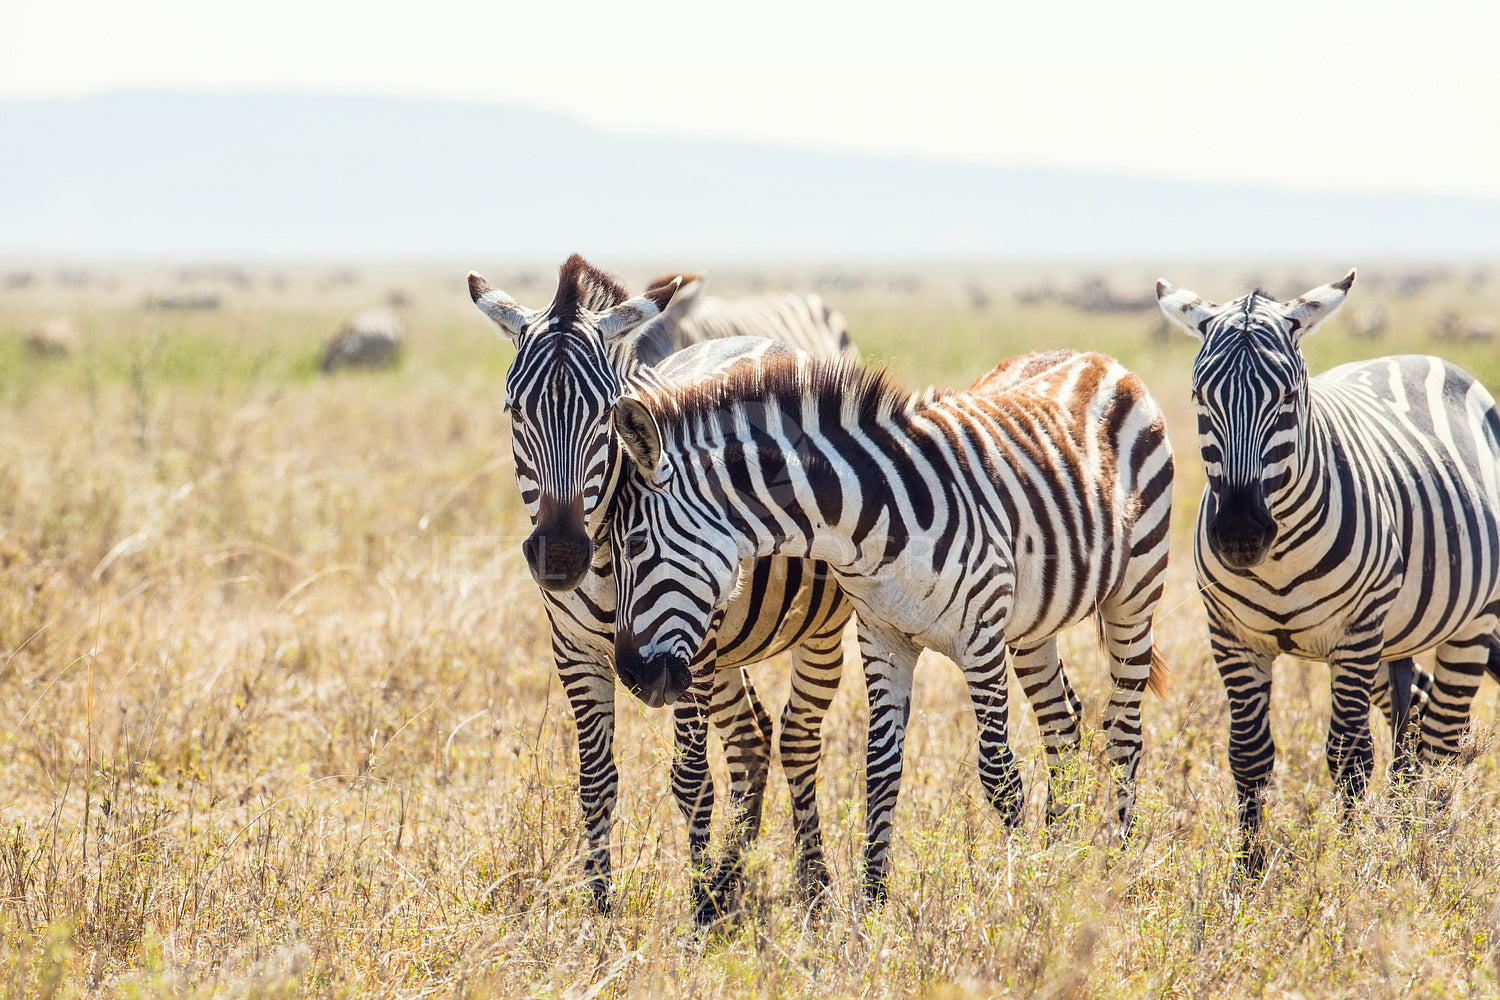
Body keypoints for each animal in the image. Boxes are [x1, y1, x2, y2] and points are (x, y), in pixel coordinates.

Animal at [603, 341, 1176, 899]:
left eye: (632, 543)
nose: (630, 674)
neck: (870, 523)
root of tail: (1098, 358)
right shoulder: (882, 637)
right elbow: (879, 769)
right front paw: (873, 900)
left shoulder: (981, 638)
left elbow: (998, 772)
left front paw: (1026, 888)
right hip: (1033, 626)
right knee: (1062, 728)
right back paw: (1067, 853)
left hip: (1135, 594)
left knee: (1124, 730)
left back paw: (1121, 865)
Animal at [1158, 269, 1500, 869]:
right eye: (1200, 396)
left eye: (1290, 398)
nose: (1241, 533)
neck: (1277, 561)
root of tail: (1421, 357)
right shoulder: (1230, 635)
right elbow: (1248, 755)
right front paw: (1249, 872)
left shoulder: (1357, 631)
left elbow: (1349, 755)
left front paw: (1346, 863)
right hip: (1394, 638)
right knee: (1412, 721)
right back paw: (1404, 828)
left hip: (1467, 623)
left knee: (1440, 741)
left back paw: (1427, 847)